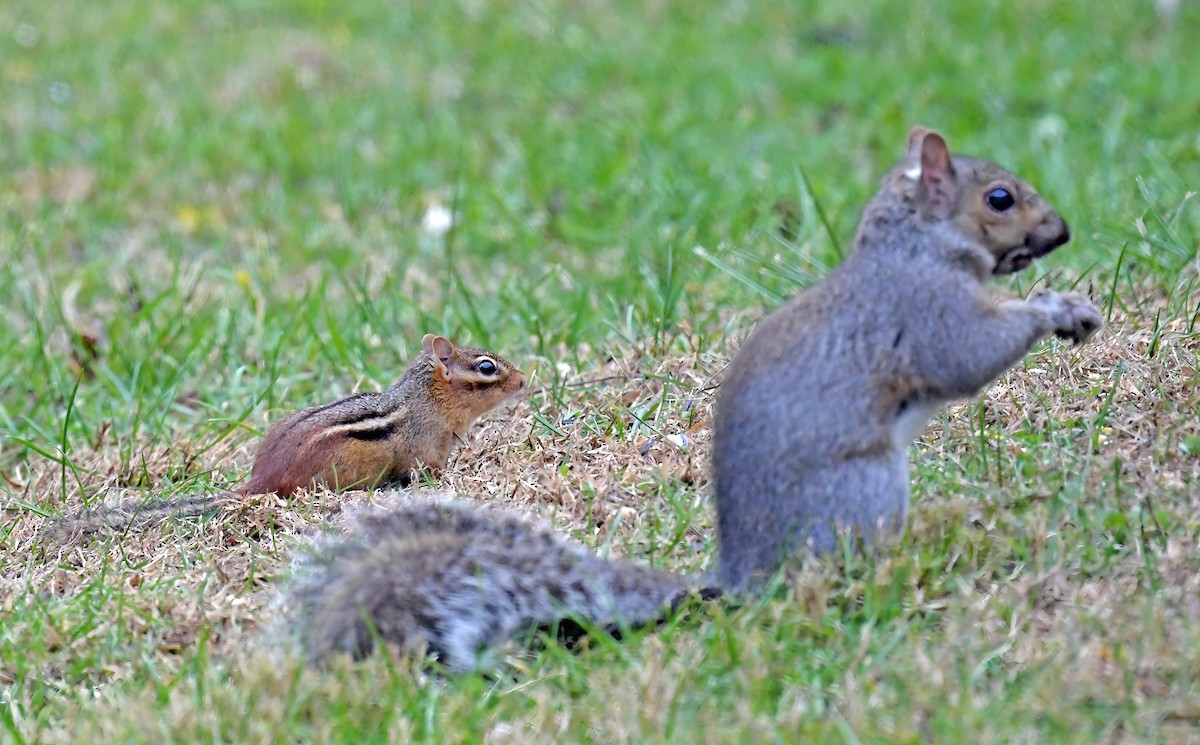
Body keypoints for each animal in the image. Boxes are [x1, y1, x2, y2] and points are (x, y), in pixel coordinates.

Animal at [45, 334, 525, 541]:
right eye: (486, 367)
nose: (524, 381)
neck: (426, 399)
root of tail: (261, 479)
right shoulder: (425, 449)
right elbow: (428, 471)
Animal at [283, 127, 1103, 669]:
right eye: (1000, 196)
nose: (1063, 231)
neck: (914, 250)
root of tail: (740, 578)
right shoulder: (923, 314)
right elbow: (964, 357)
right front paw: (1053, 308)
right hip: (867, 488)